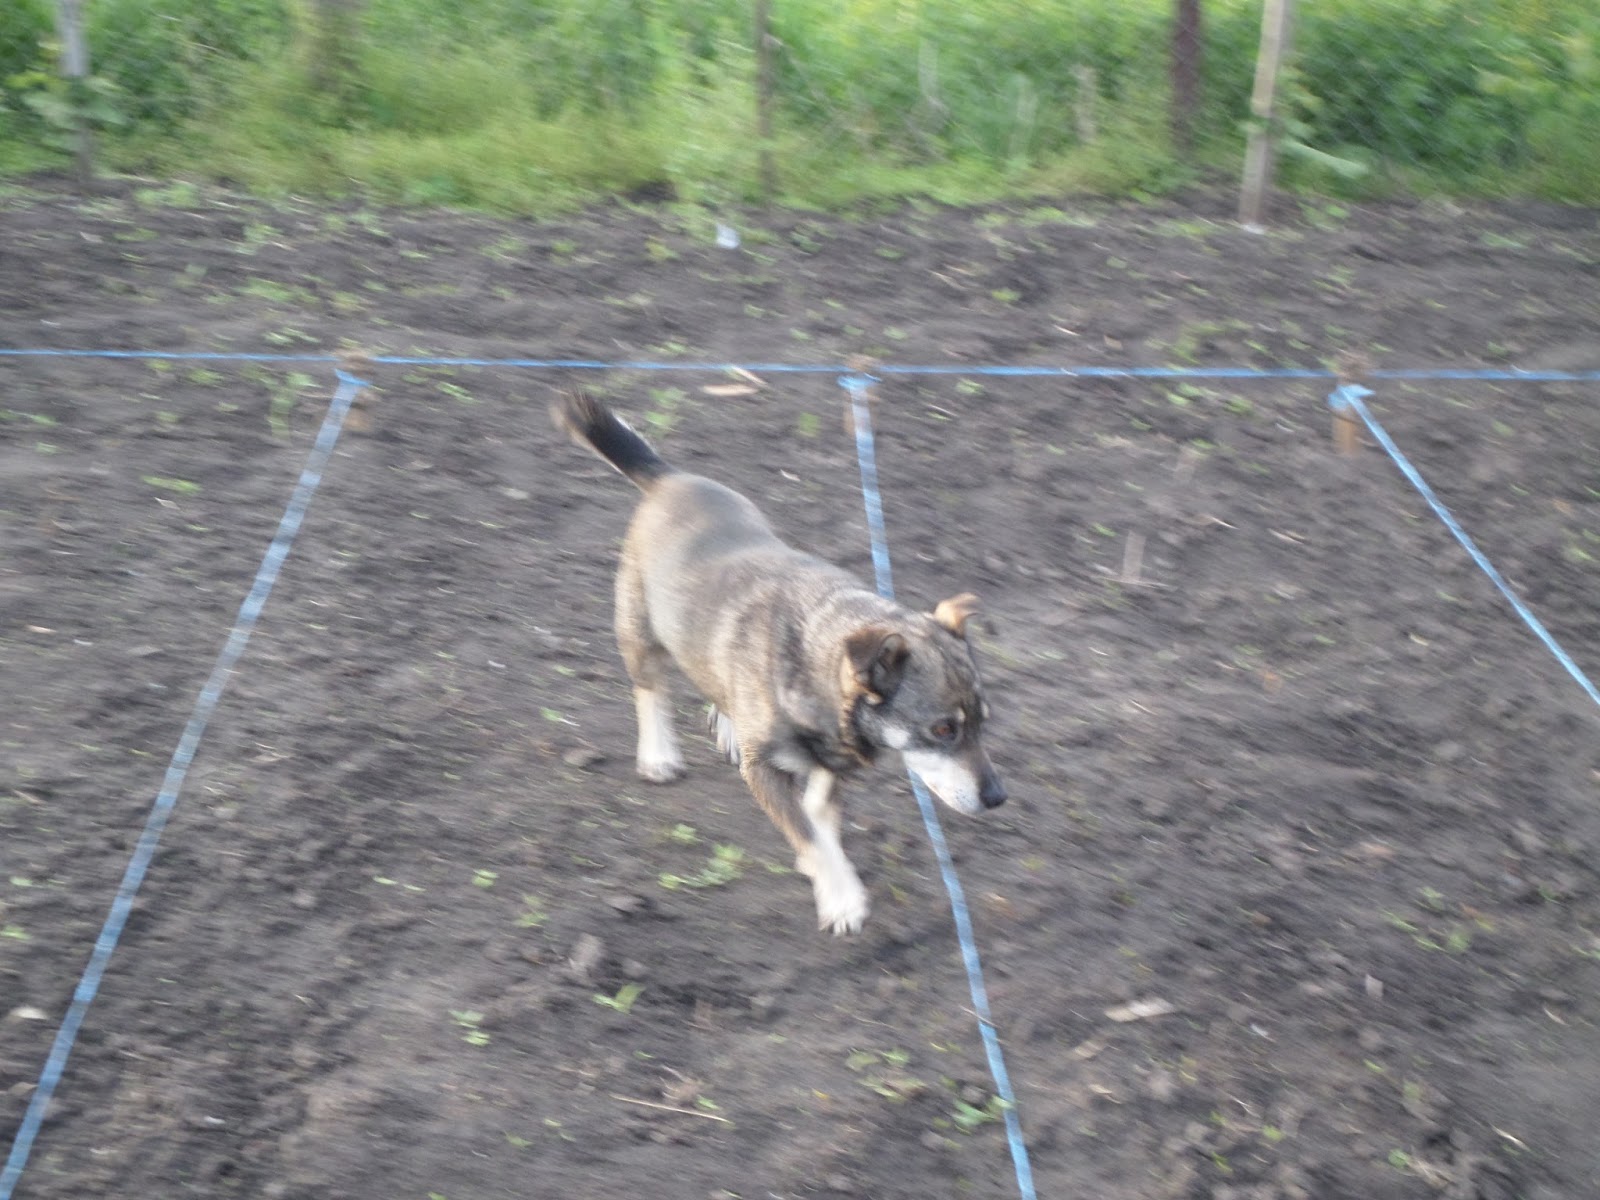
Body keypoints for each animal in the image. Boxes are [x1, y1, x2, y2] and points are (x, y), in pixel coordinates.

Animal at [552, 391, 1006, 934]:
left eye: (983, 722)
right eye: (942, 729)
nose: (997, 798)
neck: (816, 658)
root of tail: (668, 478)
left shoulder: (835, 760)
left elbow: (819, 813)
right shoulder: (765, 771)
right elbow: (806, 830)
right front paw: (841, 895)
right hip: (640, 629)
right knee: (650, 689)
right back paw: (659, 753)